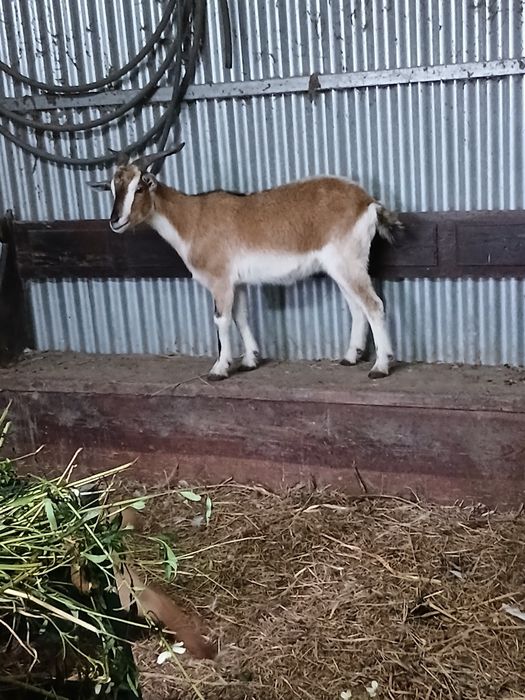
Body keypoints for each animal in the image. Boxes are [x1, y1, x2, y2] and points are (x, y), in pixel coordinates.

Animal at [90, 144, 398, 380]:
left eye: (139, 187)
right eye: (113, 188)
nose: (115, 221)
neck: (192, 219)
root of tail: (368, 201)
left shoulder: (220, 280)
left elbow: (222, 320)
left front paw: (219, 368)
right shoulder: (236, 282)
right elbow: (240, 316)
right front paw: (250, 360)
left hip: (349, 263)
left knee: (373, 304)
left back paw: (380, 367)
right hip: (340, 267)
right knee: (357, 307)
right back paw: (350, 357)